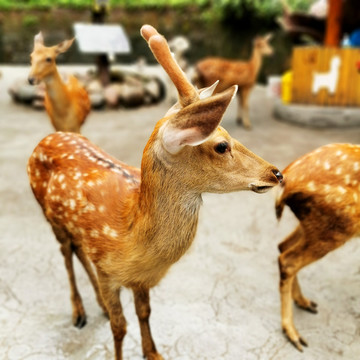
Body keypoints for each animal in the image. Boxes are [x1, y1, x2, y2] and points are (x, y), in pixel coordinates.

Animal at [26, 23, 282, 358]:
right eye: (221, 146)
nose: (276, 172)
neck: (132, 235)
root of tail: (45, 139)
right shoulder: (108, 271)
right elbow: (120, 327)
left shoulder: (140, 279)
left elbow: (145, 313)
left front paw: (154, 352)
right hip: (50, 216)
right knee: (66, 253)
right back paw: (79, 312)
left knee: (78, 251)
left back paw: (97, 306)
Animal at [276, 143, 360, 352]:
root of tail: (286, 180)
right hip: (335, 225)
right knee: (288, 259)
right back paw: (293, 333)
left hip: (315, 223)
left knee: (283, 246)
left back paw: (303, 302)